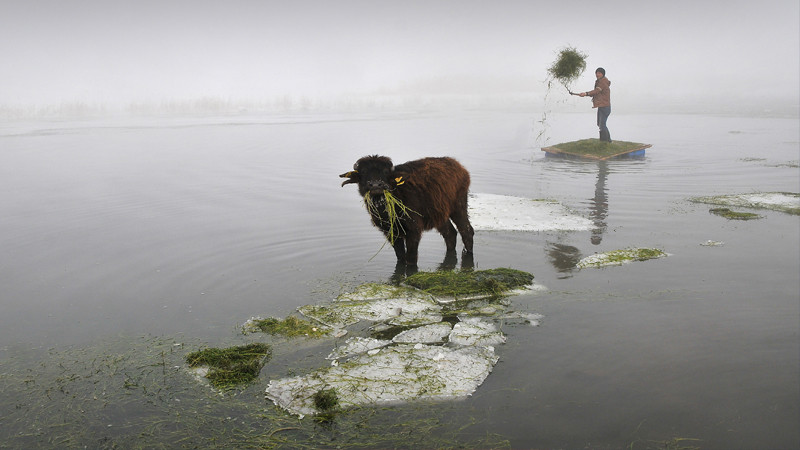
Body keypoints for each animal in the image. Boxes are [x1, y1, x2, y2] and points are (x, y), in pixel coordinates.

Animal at [340, 156, 476, 268]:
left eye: (385, 172)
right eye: (363, 172)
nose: (375, 185)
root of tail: (460, 168)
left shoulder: (413, 230)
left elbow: (411, 258)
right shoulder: (391, 232)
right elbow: (400, 257)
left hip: (458, 206)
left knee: (467, 231)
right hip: (439, 214)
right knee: (450, 233)